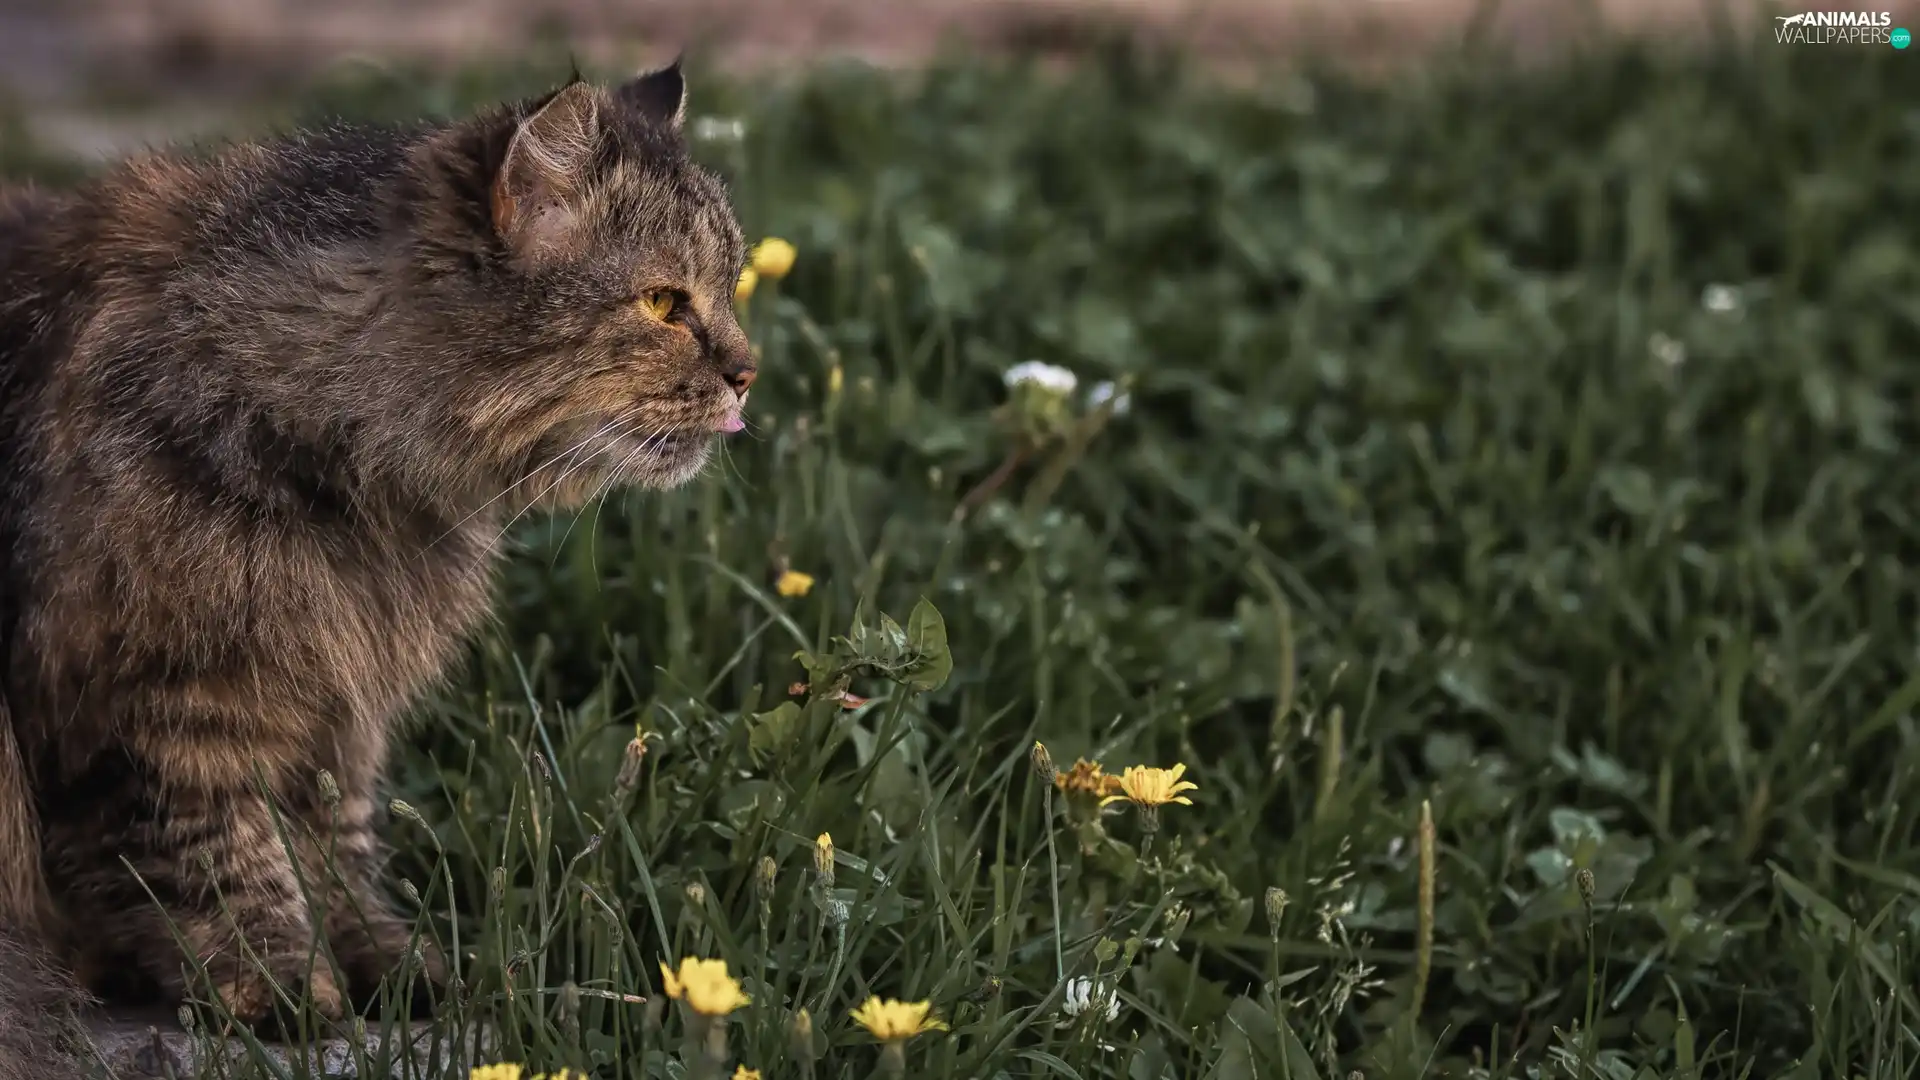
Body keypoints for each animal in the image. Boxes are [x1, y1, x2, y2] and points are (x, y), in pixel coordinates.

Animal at [0, 61, 748, 1076]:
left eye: (734, 286)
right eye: (666, 304)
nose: (750, 374)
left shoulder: (334, 711)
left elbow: (334, 851)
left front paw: (386, 969)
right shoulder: (147, 710)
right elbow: (223, 864)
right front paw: (281, 989)